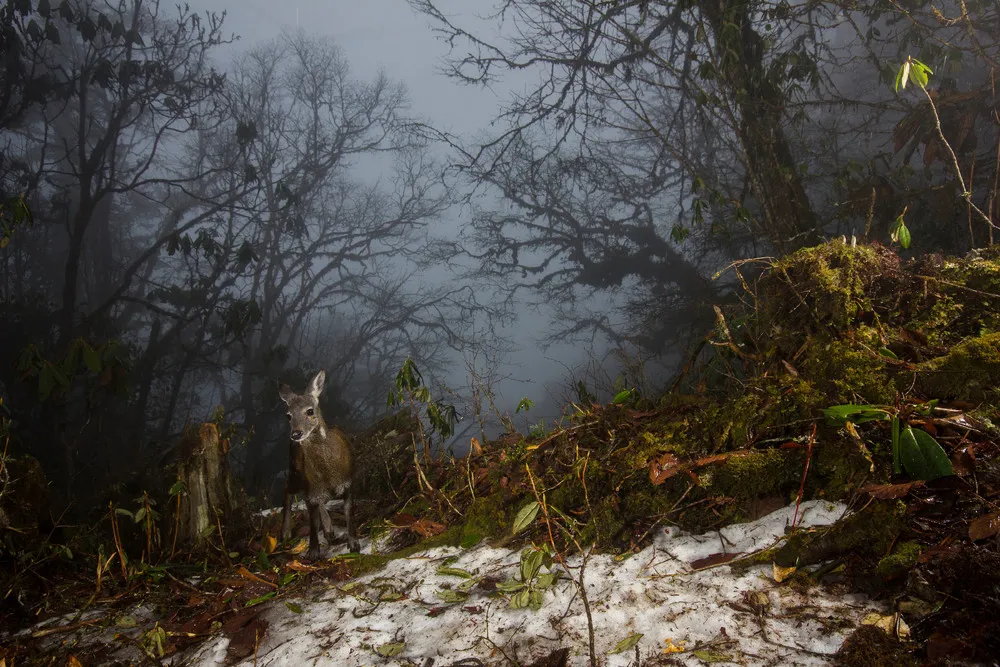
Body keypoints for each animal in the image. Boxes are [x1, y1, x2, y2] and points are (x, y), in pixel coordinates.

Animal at [278, 370, 360, 560]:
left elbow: (349, 513)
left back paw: (330, 530)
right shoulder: (310, 492)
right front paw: (313, 552)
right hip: (295, 472)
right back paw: (285, 533)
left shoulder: (349, 483)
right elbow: (312, 523)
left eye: (309, 410)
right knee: (287, 488)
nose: (296, 434)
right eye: (288, 415)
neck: (328, 475)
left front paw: (354, 544)